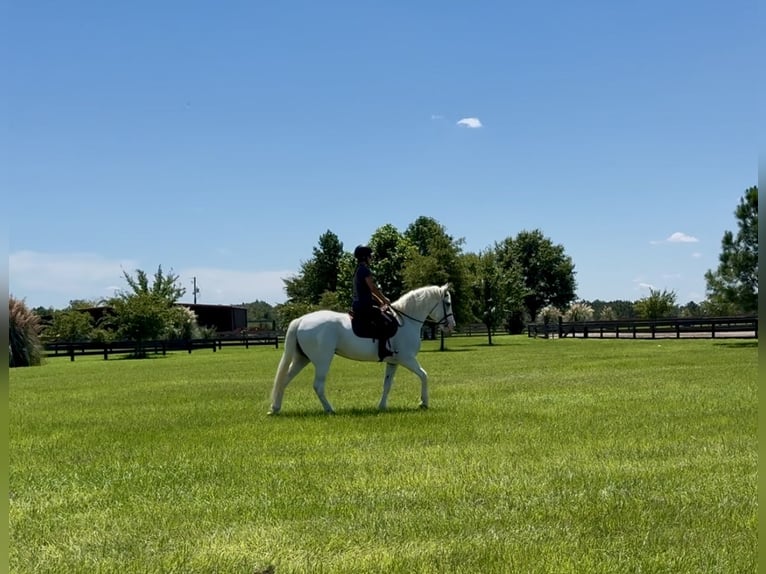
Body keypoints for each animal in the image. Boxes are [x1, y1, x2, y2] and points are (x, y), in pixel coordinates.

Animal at [268, 283, 455, 415]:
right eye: (447, 303)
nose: (451, 326)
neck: (406, 321)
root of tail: (301, 320)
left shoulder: (393, 362)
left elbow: (387, 384)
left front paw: (381, 406)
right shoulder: (407, 359)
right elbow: (424, 375)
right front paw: (423, 402)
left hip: (302, 358)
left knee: (284, 380)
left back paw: (275, 408)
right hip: (322, 360)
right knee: (318, 385)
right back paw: (330, 410)